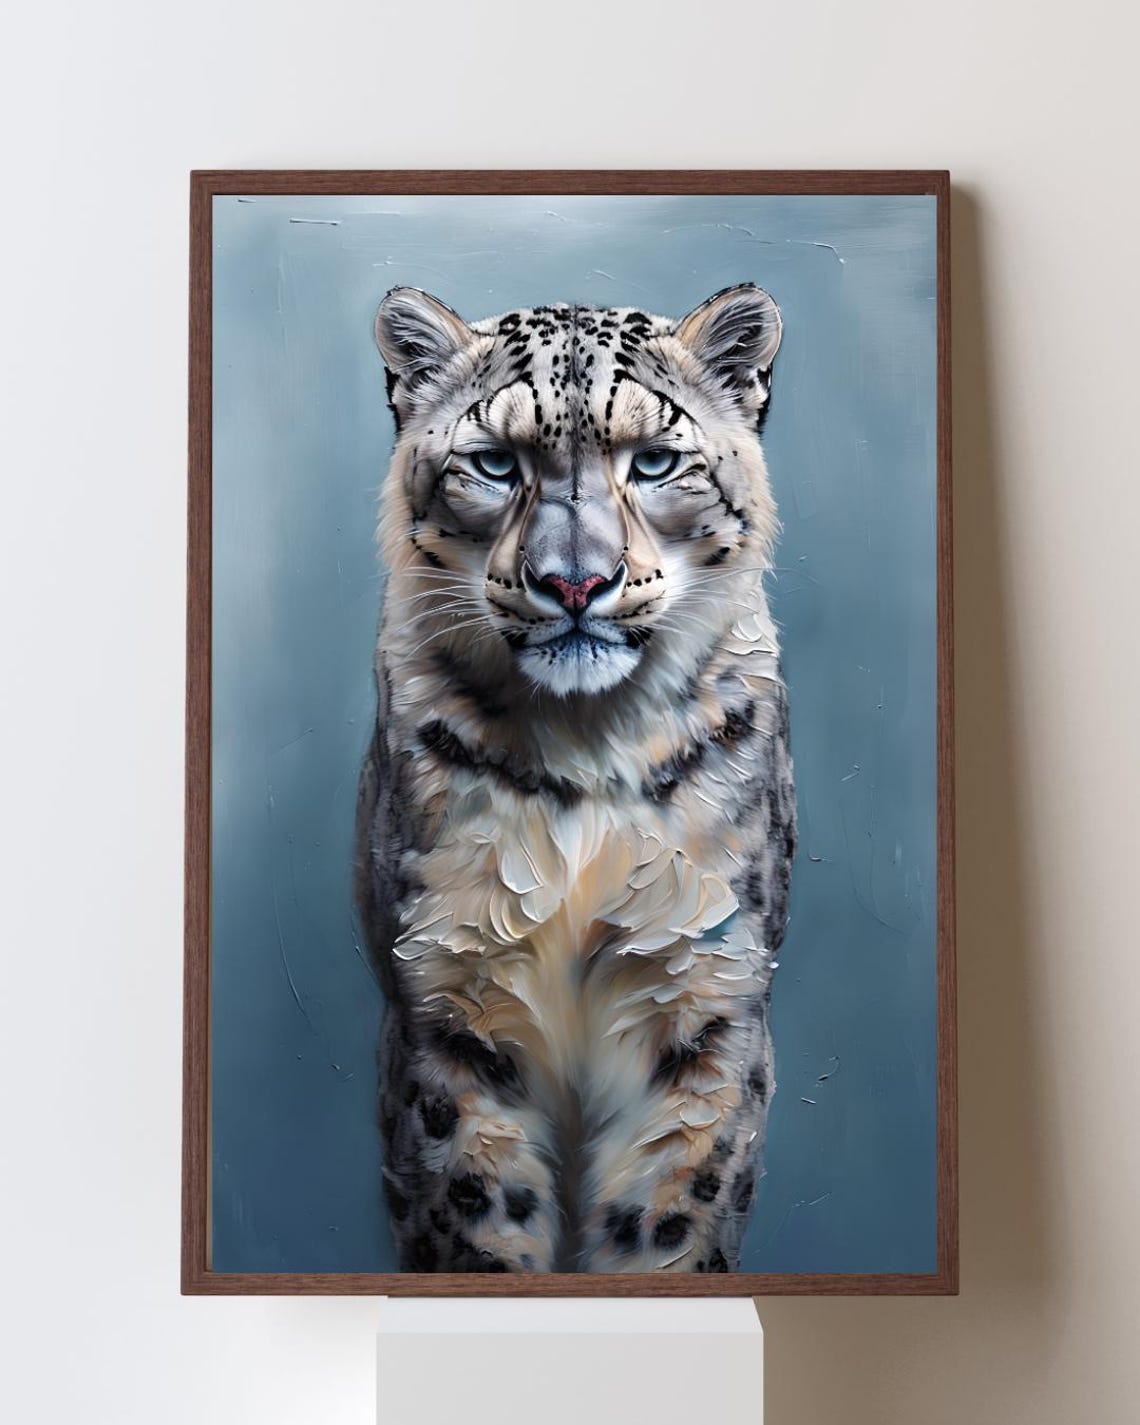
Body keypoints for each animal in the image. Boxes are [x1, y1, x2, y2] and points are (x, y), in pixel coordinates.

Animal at [354, 282, 796, 1274]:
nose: (574, 582)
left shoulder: (706, 992)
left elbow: (671, 1218)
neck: (586, 747)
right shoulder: (447, 994)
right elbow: (473, 1210)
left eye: (657, 459)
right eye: (493, 461)